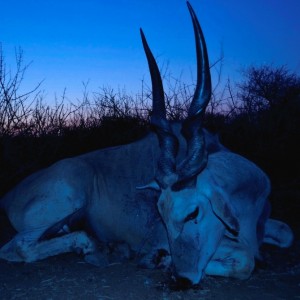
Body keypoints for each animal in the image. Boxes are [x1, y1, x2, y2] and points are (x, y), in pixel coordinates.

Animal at [0, 1, 292, 286]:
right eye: (161, 215)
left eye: (193, 213)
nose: (181, 278)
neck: (249, 196)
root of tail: (8, 196)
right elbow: (245, 260)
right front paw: (159, 259)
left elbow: (285, 234)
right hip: (70, 196)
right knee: (18, 247)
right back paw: (93, 247)